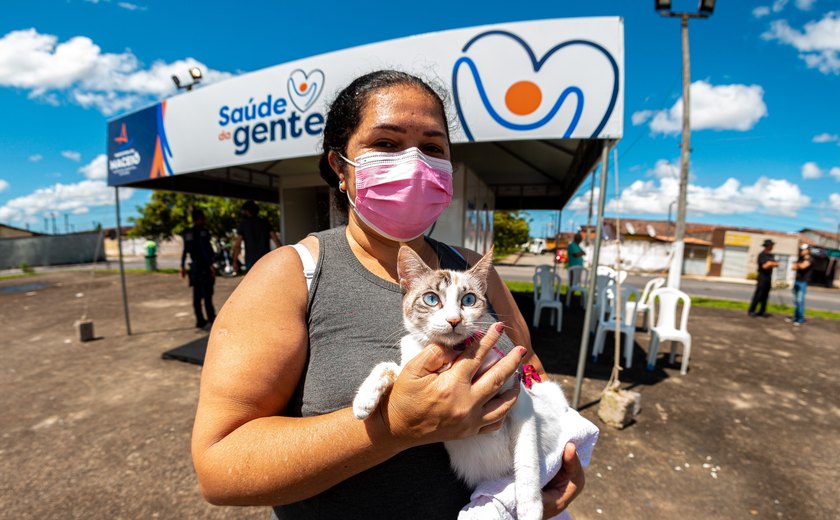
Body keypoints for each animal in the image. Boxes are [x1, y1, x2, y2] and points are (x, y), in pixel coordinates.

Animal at [352, 245, 576, 520]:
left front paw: (531, 507)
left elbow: (527, 458)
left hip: (549, 391)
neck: (452, 355)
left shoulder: (520, 400)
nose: (453, 320)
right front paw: (364, 400)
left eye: (468, 300)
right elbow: (387, 366)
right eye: (431, 299)